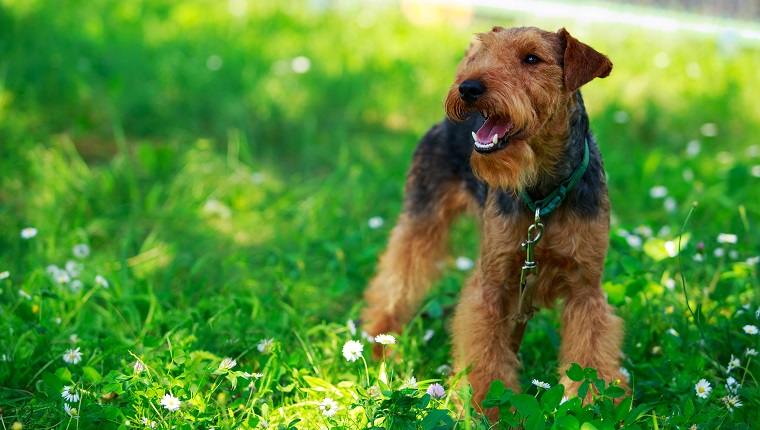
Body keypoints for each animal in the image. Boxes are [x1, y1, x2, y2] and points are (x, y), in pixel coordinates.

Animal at [360, 25, 624, 418]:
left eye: (532, 58)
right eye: (486, 52)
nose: (468, 88)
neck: (542, 192)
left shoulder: (585, 289)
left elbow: (590, 356)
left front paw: (592, 408)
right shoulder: (492, 284)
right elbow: (485, 359)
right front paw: (486, 411)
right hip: (420, 218)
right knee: (395, 281)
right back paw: (379, 344)